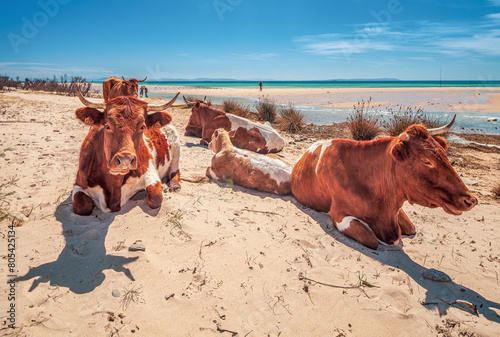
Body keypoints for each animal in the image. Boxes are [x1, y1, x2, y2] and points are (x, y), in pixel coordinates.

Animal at [70, 85, 180, 214]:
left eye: (142, 126)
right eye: (107, 126)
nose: (125, 160)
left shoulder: (150, 172)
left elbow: (155, 198)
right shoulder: (79, 184)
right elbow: (81, 207)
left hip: (176, 152)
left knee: (175, 172)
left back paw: (173, 185)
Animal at [292, 115, 478, 249]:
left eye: (444, 154)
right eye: (426, 161)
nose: (470, 199)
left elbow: (411, 228)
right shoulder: (339, 215)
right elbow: (371, 239)